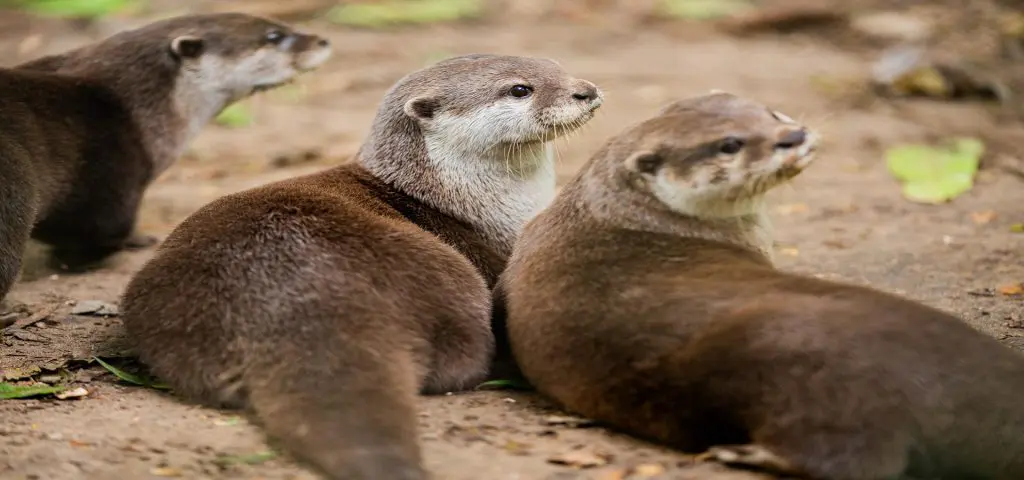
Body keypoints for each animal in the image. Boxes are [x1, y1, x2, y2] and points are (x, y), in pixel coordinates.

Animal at [0, 13, 331, 302]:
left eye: (281, 24)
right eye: (274, 36)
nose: (323, 41)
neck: (133, 110)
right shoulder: (112, 181)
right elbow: (97, 232)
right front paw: (135, 241)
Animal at [121, 54, 603, 480]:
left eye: (558, 68)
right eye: (520, 89)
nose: (586, 90)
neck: (457, 199)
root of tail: (300, 296)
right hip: (451, 276)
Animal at [496, 91, 1024, 480]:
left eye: (770, 112)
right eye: (729, 144)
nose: (792, 135)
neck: (628, 218)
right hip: (812, 375)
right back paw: (744, 453)